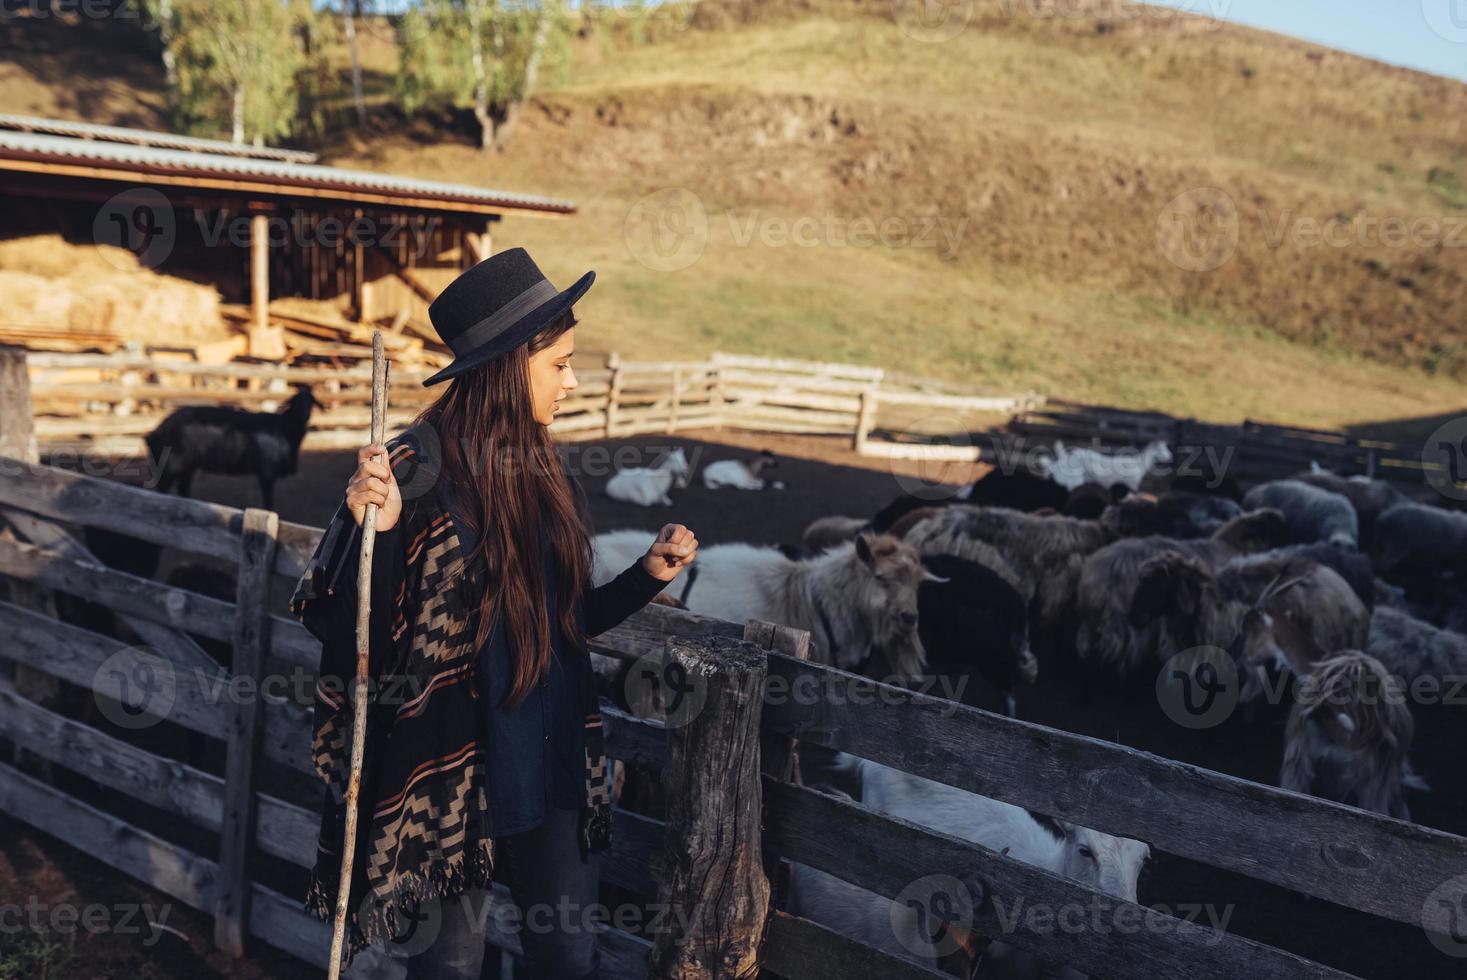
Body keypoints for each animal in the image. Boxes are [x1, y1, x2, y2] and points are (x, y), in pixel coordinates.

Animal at [145, 381, 315, 510]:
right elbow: (268, 501)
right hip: (172, 465)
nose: (304, 416)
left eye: (311, 402)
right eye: (296, 402)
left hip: (187, 466)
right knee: (163, 489)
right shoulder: (267, 471)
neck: (284, 427)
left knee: (182, 487)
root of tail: (155, 431)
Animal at [1038, 440, 1173, 492]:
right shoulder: (1131, 485)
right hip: (1073, 481)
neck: (1140, 464)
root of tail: (1056, 465)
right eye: (1162, 449)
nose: (1171, 456)